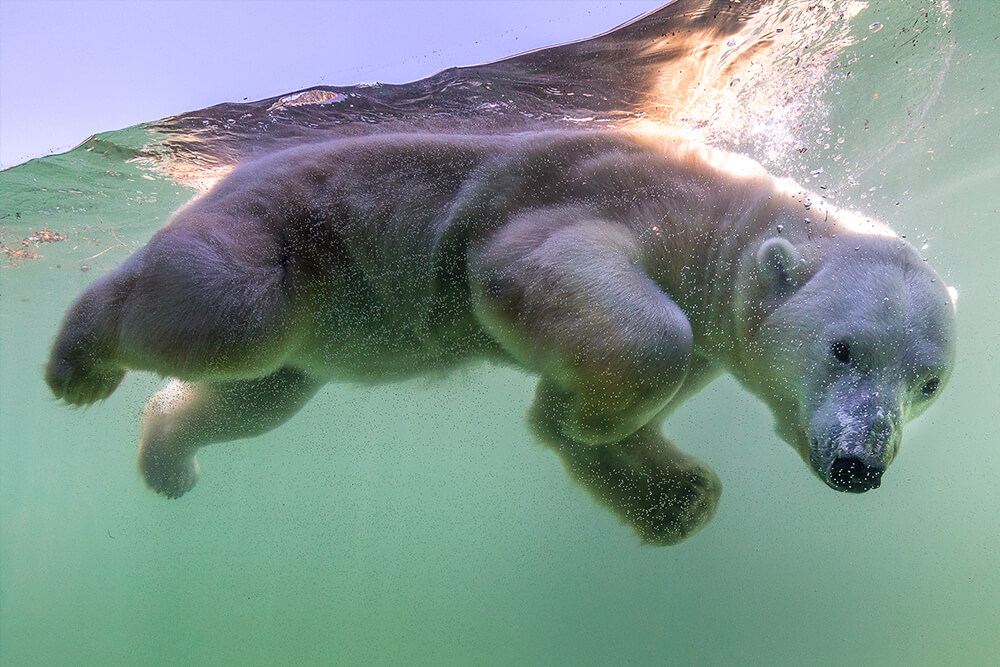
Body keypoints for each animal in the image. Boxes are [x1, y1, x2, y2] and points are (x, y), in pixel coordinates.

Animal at [43, 129, 956, 544]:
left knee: (258, 394)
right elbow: (547, 272)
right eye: (844, 347)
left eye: (929, 382)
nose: (860, 462)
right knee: (225, 313)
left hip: (324, 311)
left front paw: (672, 494)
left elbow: (573, 411)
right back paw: (78, 359)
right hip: (294, 231)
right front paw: (601, 424)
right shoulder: (607, 195)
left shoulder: (711, 327)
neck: (724, 216)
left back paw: (167, 457)